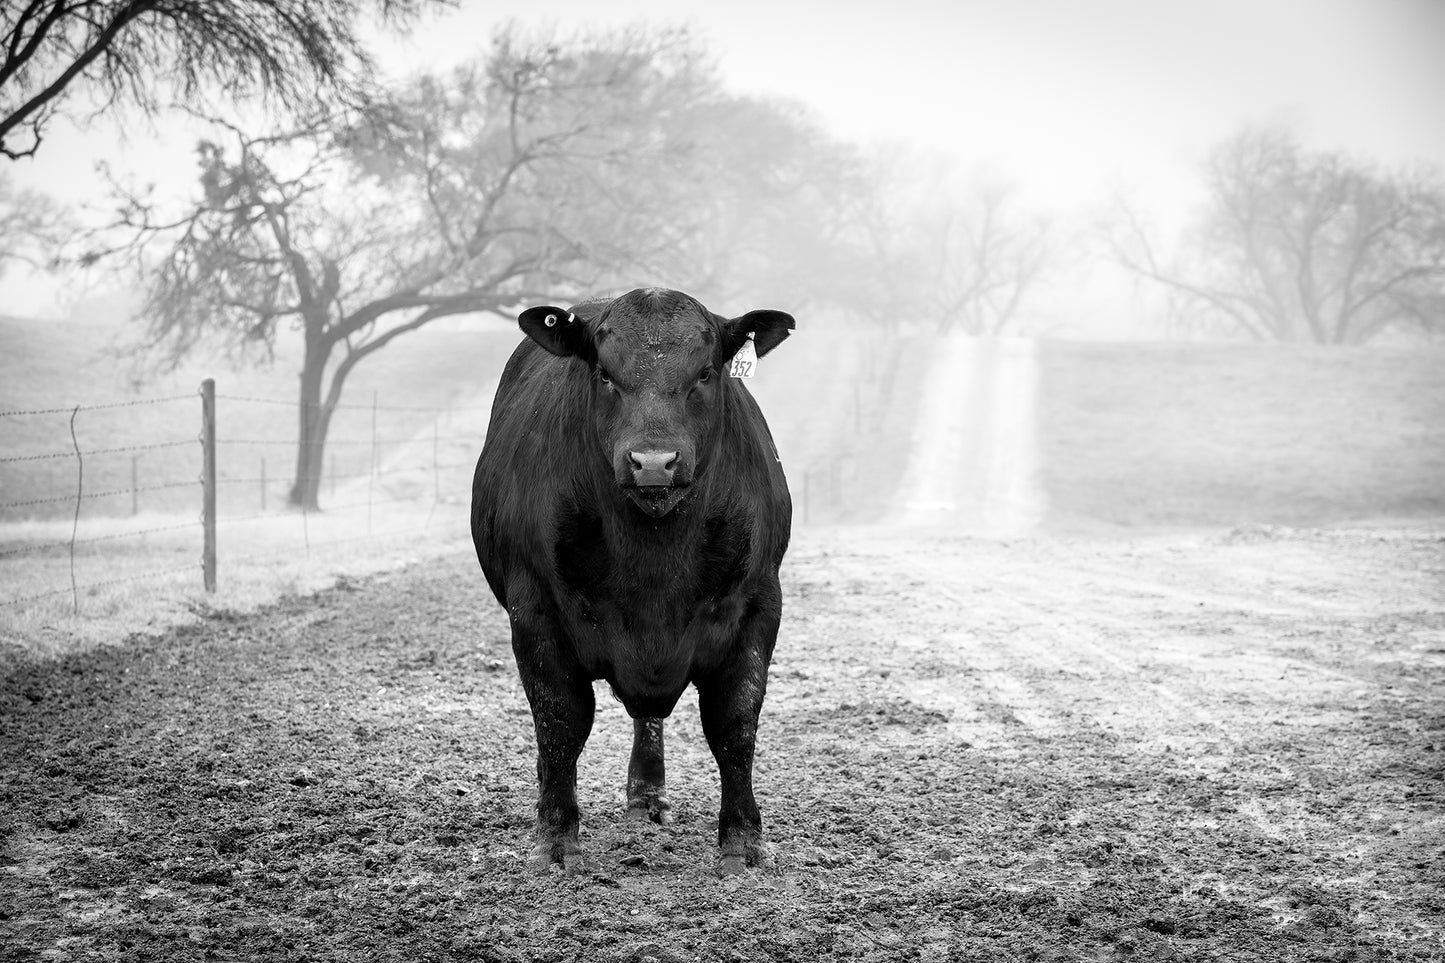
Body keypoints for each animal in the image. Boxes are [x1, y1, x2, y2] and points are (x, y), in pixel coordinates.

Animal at [471, 283, 791, 867]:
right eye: (603, 374)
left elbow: (735, 721)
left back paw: (647, 797)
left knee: (651, 716)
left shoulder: (760, 599)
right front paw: (556, 836)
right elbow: (559, 719)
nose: (654, 462)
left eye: (705, 373)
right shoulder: (534, 606)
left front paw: (743, 840)